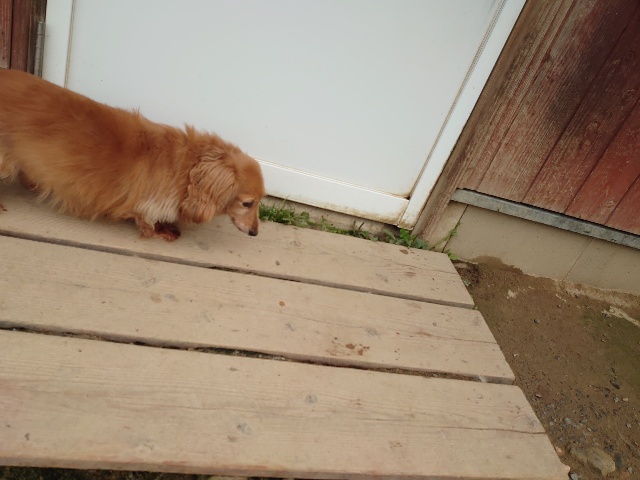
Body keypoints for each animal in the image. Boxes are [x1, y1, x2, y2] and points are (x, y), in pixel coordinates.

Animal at [0, 69, 265, 241]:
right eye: (247, 203)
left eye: (259, 202)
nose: (255, 232)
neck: (185, 168)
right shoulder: (149, 206)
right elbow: (146, 220)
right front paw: (161, 231)